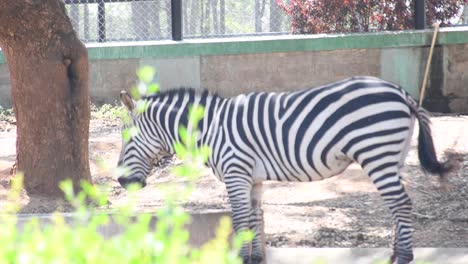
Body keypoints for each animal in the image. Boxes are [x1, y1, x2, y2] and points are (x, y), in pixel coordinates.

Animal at [116, 76, 450, 264]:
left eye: (127, 137)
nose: (120, 181)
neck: (211, 129)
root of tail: (401, 92)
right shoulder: (251, 179)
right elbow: (252, 219)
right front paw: (253, 258)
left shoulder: (236, 173)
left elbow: (240, 220)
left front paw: (243, 259)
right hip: (392, 156)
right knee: (397, 206)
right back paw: (394, 254)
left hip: (376, 153)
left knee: (401, 204)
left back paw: (403, 258)